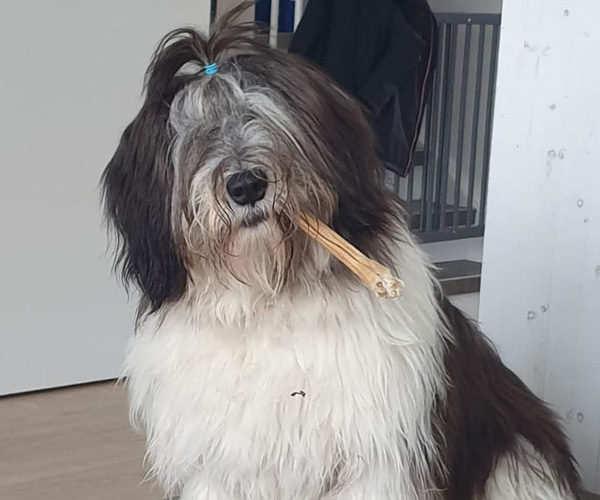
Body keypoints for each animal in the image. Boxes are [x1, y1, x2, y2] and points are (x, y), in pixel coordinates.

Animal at [102, 6, 579, 500]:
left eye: (265, 118)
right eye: (195, 136)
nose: (247, 185)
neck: (270, 298)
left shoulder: (378, 458)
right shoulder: (221, 463)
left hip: (517, 463)